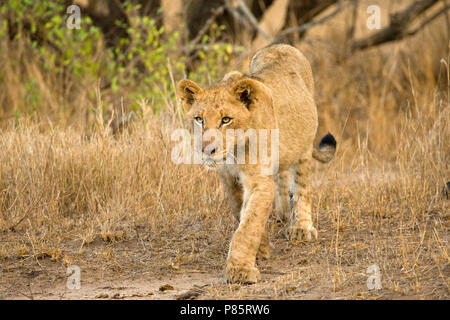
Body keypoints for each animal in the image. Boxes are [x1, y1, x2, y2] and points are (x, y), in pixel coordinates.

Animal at [178, 44, 336, 282]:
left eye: (226, 120)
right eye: (199, 119)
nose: (207, 150)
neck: (234, 152)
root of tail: (280, 45)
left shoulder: (259, 181)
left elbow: (248, 224)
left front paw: (240, 270)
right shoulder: (229, 179)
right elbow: (242, 213)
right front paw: (261, 248)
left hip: (304, 145)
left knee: (302, 186)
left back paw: (301, 228)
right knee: (282, 175)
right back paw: (282, 213)